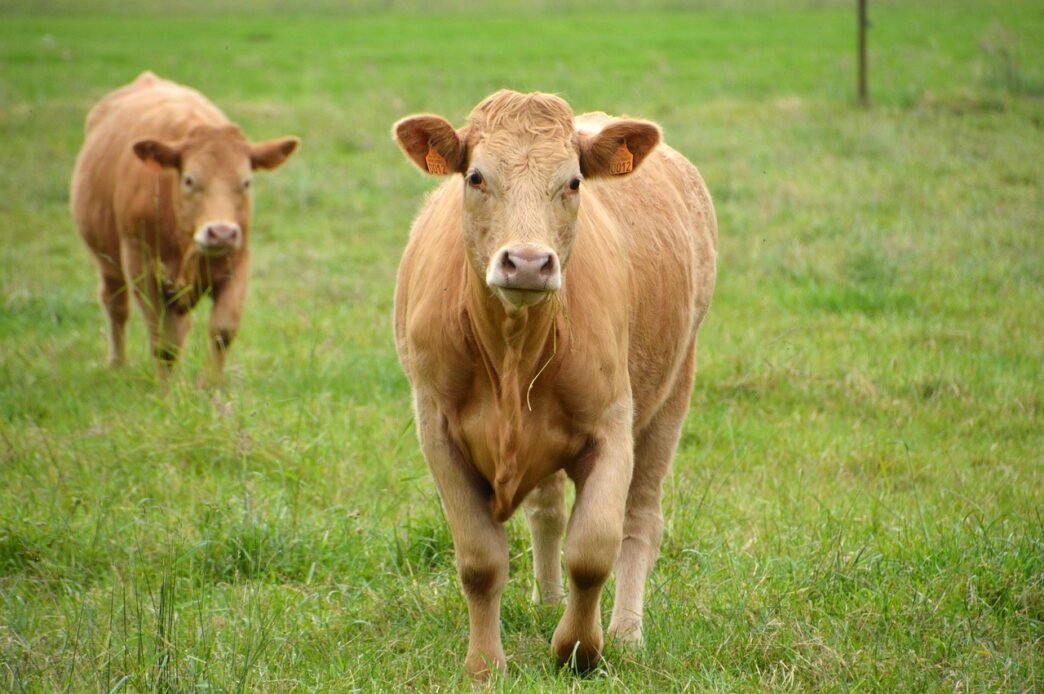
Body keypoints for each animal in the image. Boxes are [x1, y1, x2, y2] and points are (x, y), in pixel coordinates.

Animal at [70, 71, 299, 381]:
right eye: (189, 179)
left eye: (246, 182)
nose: (221, 232)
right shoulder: (140, 266)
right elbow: (163, 343)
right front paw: (167, 390)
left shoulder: (238, 260)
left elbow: (222, 331)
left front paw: (210, 386)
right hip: (108, 262)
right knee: (116, 305)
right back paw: (117, 364)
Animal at [392, 90, 717, 678]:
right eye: (475, 176)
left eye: (574, 182)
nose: (526, 263)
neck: (511, 349)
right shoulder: (436, 427)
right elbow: (481, 561)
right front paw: (485, 664)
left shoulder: (612, 423)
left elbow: (591, 550)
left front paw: (579, 648)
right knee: (547, 511)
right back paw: (546, 602)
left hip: (672, 391)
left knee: (641, 519)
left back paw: (626, 631)